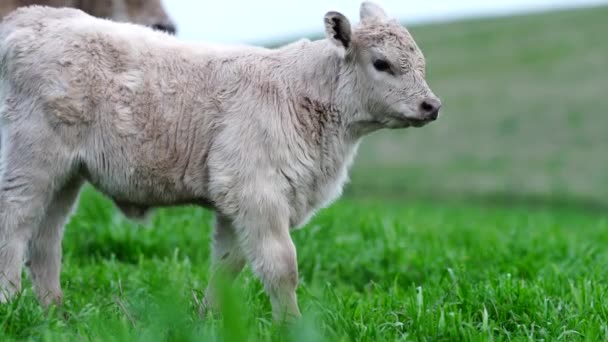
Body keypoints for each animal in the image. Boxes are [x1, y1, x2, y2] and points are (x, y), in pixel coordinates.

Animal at [0, 2, 442, 320]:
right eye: (382, 63)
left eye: (420, 63)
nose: (431, 105)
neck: (303, 96)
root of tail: (31, 17)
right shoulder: (256, 191)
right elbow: (281, 265)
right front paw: (292, 325)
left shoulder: (236, 201)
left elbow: (229, 264)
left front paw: (209, 317)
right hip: (31, 159)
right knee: (14, 222)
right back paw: (10, 301)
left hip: (67, 175)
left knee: (46, 237)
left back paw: (54, 310)